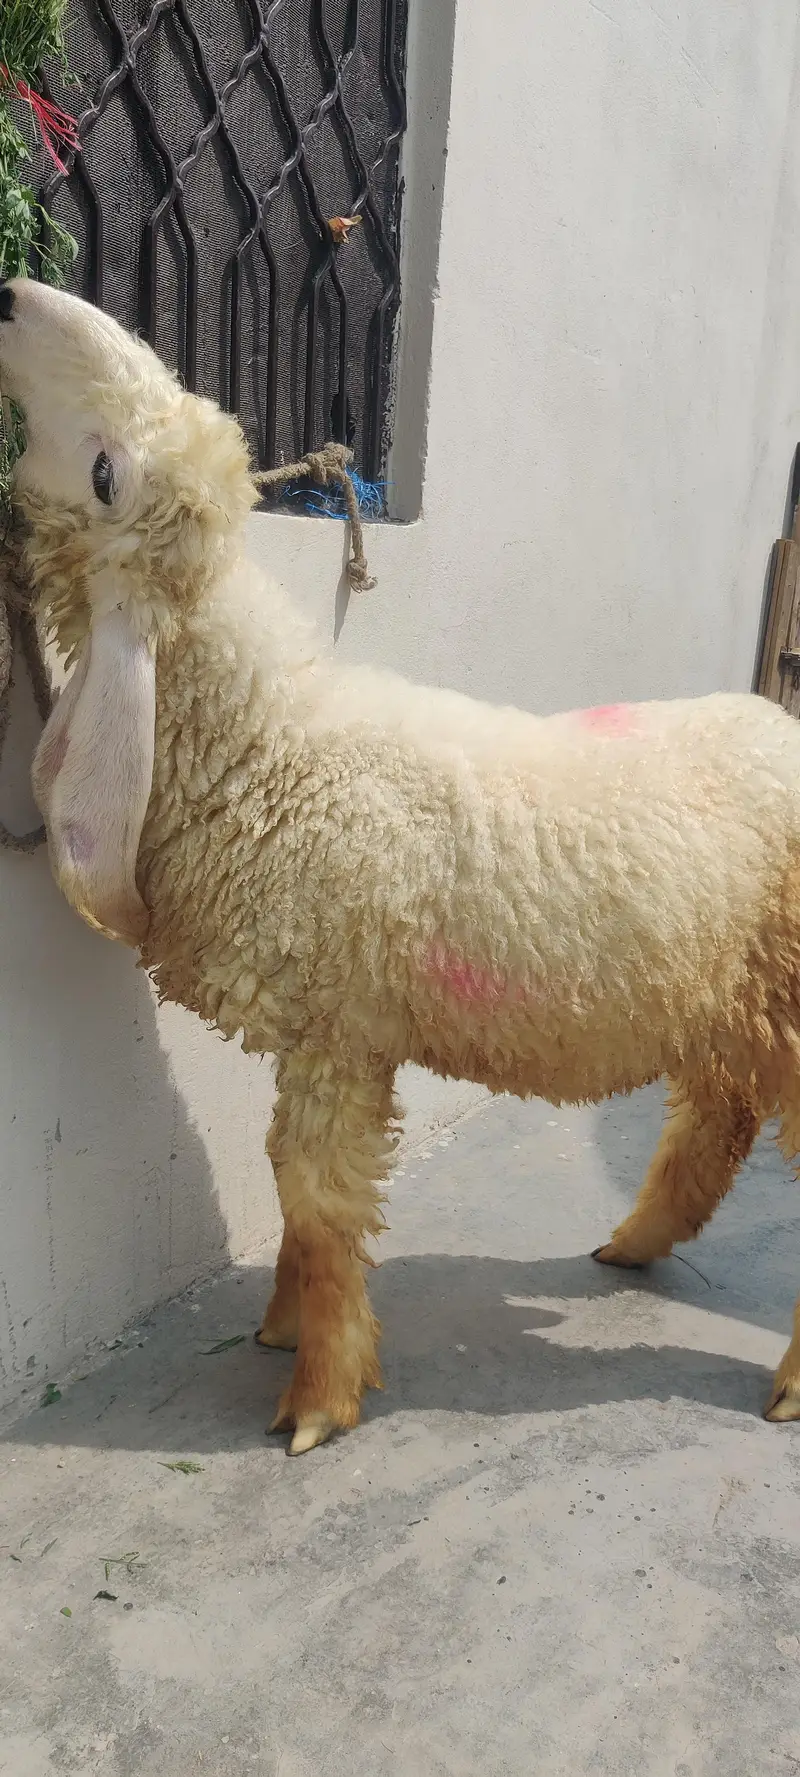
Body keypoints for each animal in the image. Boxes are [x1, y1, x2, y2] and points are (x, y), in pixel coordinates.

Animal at [2, 275, 800, 1455]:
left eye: (109, 474)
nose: (14, 295)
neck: (269, 745)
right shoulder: (325, 1030)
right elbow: (289, 1185)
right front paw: (283, 1325)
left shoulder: (342, 1028)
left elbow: (317, 1198)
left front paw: (319, 1393)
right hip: (726, 997)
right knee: (716, 1115)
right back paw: (635, 1239)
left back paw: (783, 1374)